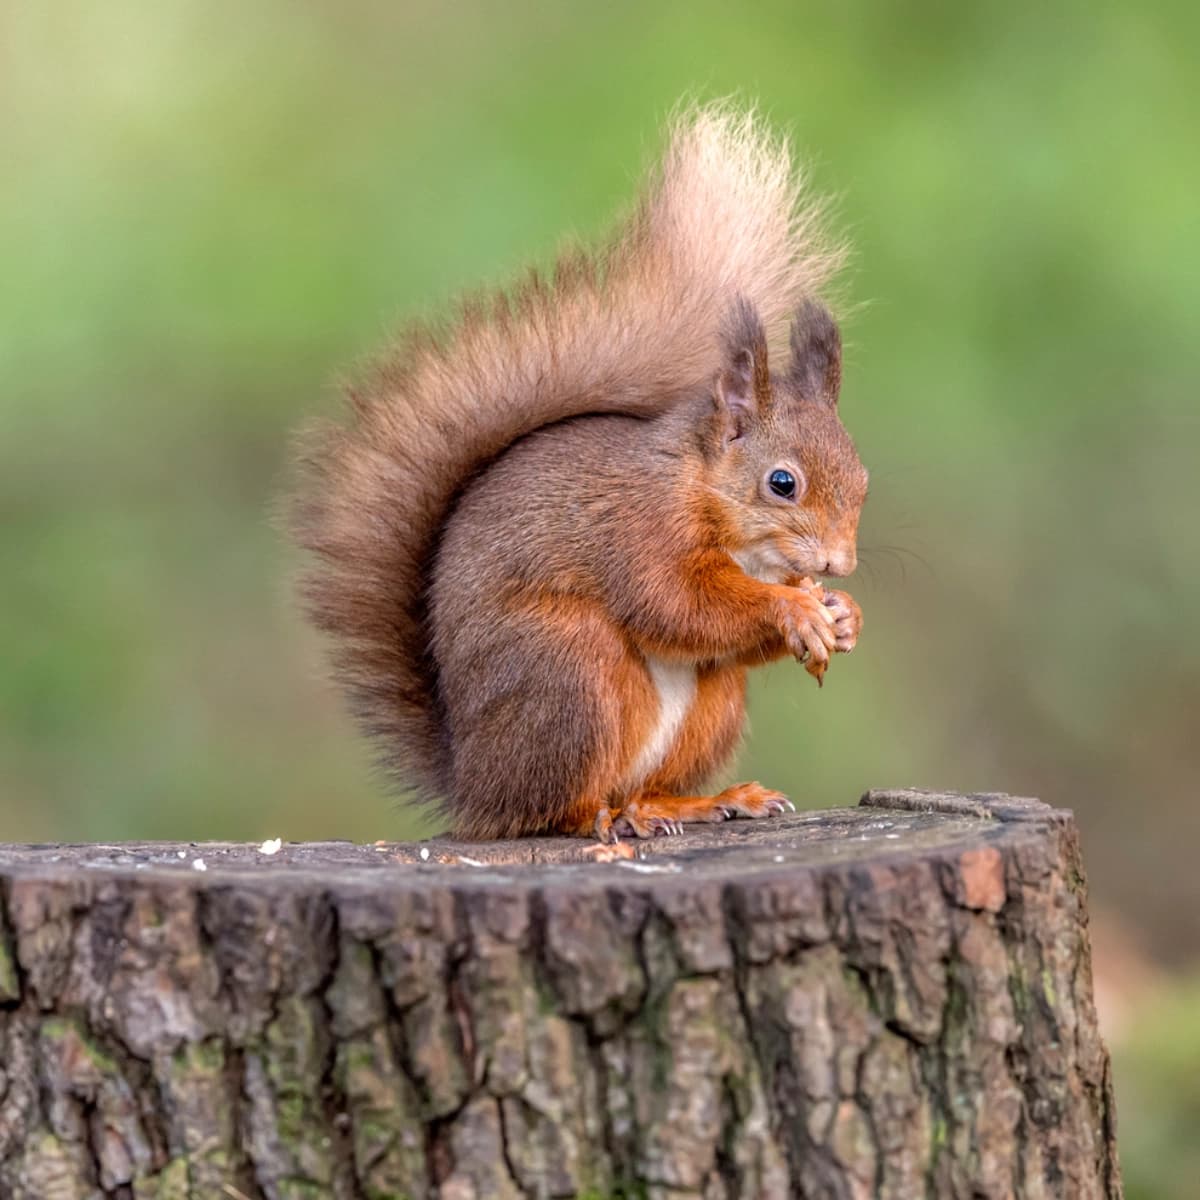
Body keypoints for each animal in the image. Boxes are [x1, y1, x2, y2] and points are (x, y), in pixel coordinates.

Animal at [291, 104, 868, 842]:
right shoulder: (637, 530)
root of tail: (474, 788)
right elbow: (676, 603)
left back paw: (694, 801)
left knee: (646, 777)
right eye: (782, 483)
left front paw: (842, 614)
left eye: (863, 480)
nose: (839, 564)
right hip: (571, 672)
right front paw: (792, 607)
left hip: (706, 705)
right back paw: (610, 817)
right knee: (557, 808)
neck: (701, 489)